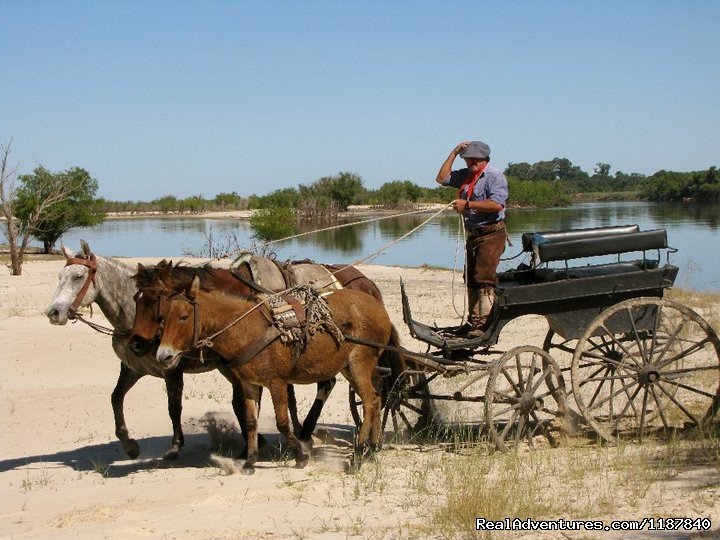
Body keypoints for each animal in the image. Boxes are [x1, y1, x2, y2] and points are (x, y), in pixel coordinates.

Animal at [156, 274, 400, 472]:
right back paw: (372, 449)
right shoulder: (250, 384)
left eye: (184, 316)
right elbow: (250, 421)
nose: (163, 356)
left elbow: (282, 422)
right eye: (163, 317)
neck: (247, 329)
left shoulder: (277, 383)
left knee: (369, 401)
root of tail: (379, 308)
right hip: (351, 368)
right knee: (377, 399)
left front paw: (300, 457)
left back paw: (359, 454)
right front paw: (250, 462)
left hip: (359, 364)